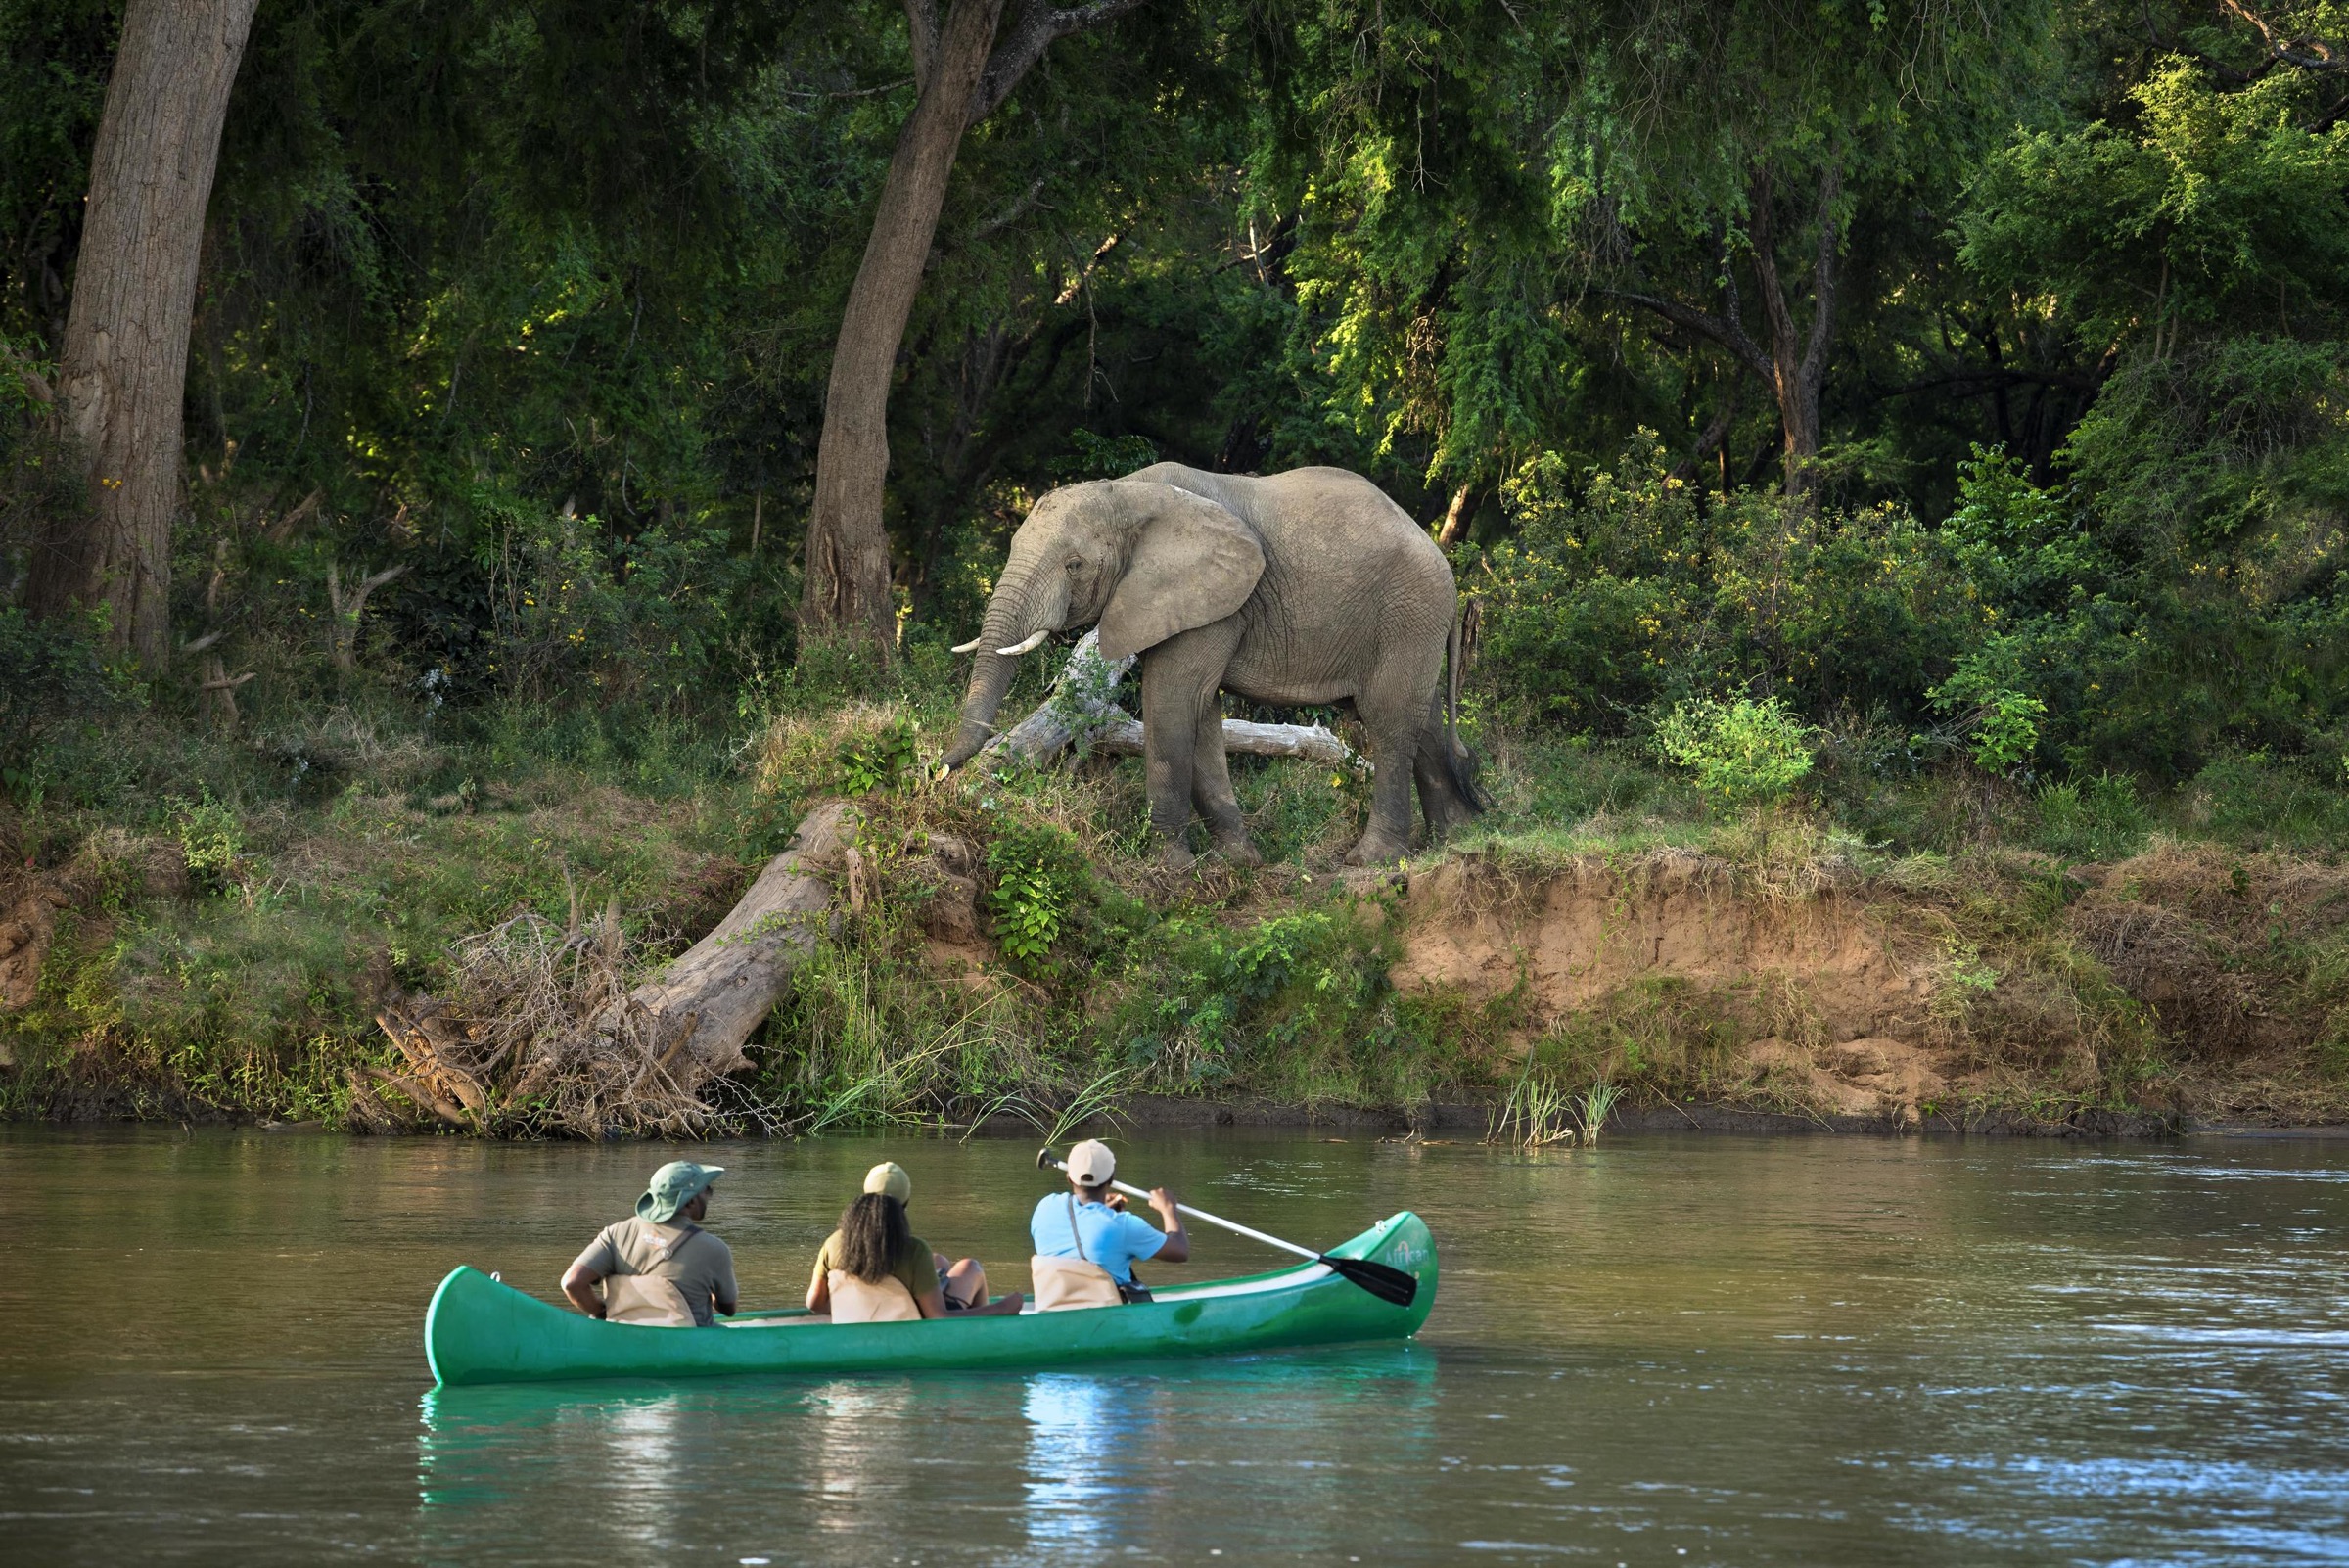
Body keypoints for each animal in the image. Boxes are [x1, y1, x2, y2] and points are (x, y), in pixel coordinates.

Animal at [930, 460, 1465, 863]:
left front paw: (1171, 867)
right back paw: (1457, 841)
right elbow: (1202, 711)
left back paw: (1372, 861)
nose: (937, 772)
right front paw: (1237, 861)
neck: (1128, 491)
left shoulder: (1215, 600)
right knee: (1423, 721)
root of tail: (1445, 566)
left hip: (1409, 613)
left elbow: (1171, 699)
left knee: (1389, 718)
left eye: (1074, 565)